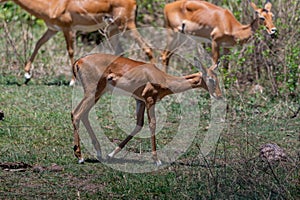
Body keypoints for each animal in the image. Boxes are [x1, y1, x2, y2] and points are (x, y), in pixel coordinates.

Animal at [0, 0, 155, 85]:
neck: (52, 4)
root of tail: (134, 2)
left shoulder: (68, 29)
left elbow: (70, 51)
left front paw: (73, 81)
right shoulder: (52, 29)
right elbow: (38, 43)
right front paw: (27, 75)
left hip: (126, 26)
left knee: (147, 47)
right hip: (113, 30)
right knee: (120, 52)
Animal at [71, 53, 223, 166]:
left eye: (217, 78)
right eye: (211, 79)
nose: (219, 96)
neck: (163, 79)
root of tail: (79, 61)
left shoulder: (140, 101)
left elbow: (139, 125)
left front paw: (110, 155)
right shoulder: (150, 101)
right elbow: (152, 124)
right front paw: (157, 160)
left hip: (97, 94)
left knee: (82, 114)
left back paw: (99, 153)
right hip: (92, 93)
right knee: (77, 114)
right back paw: (80, 157)